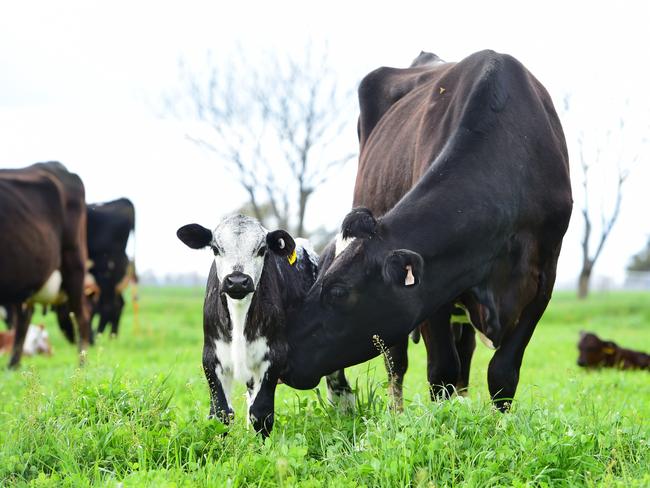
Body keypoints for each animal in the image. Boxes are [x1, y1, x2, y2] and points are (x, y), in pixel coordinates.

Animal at [177, 215, 340, 436]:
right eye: (215, 248)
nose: (237, 281)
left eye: (262, 249)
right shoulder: (211, 356)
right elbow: (221, 413)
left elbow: (261, 413)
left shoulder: (275, 355)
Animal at [280, 48, 568, 412]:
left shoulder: (544, 278)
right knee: (397, 362)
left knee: (463, 354)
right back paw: (397, 415)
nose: (284, 354)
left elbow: (502, 372)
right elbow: (442, 370)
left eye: (338, 292)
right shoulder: (434, 289)